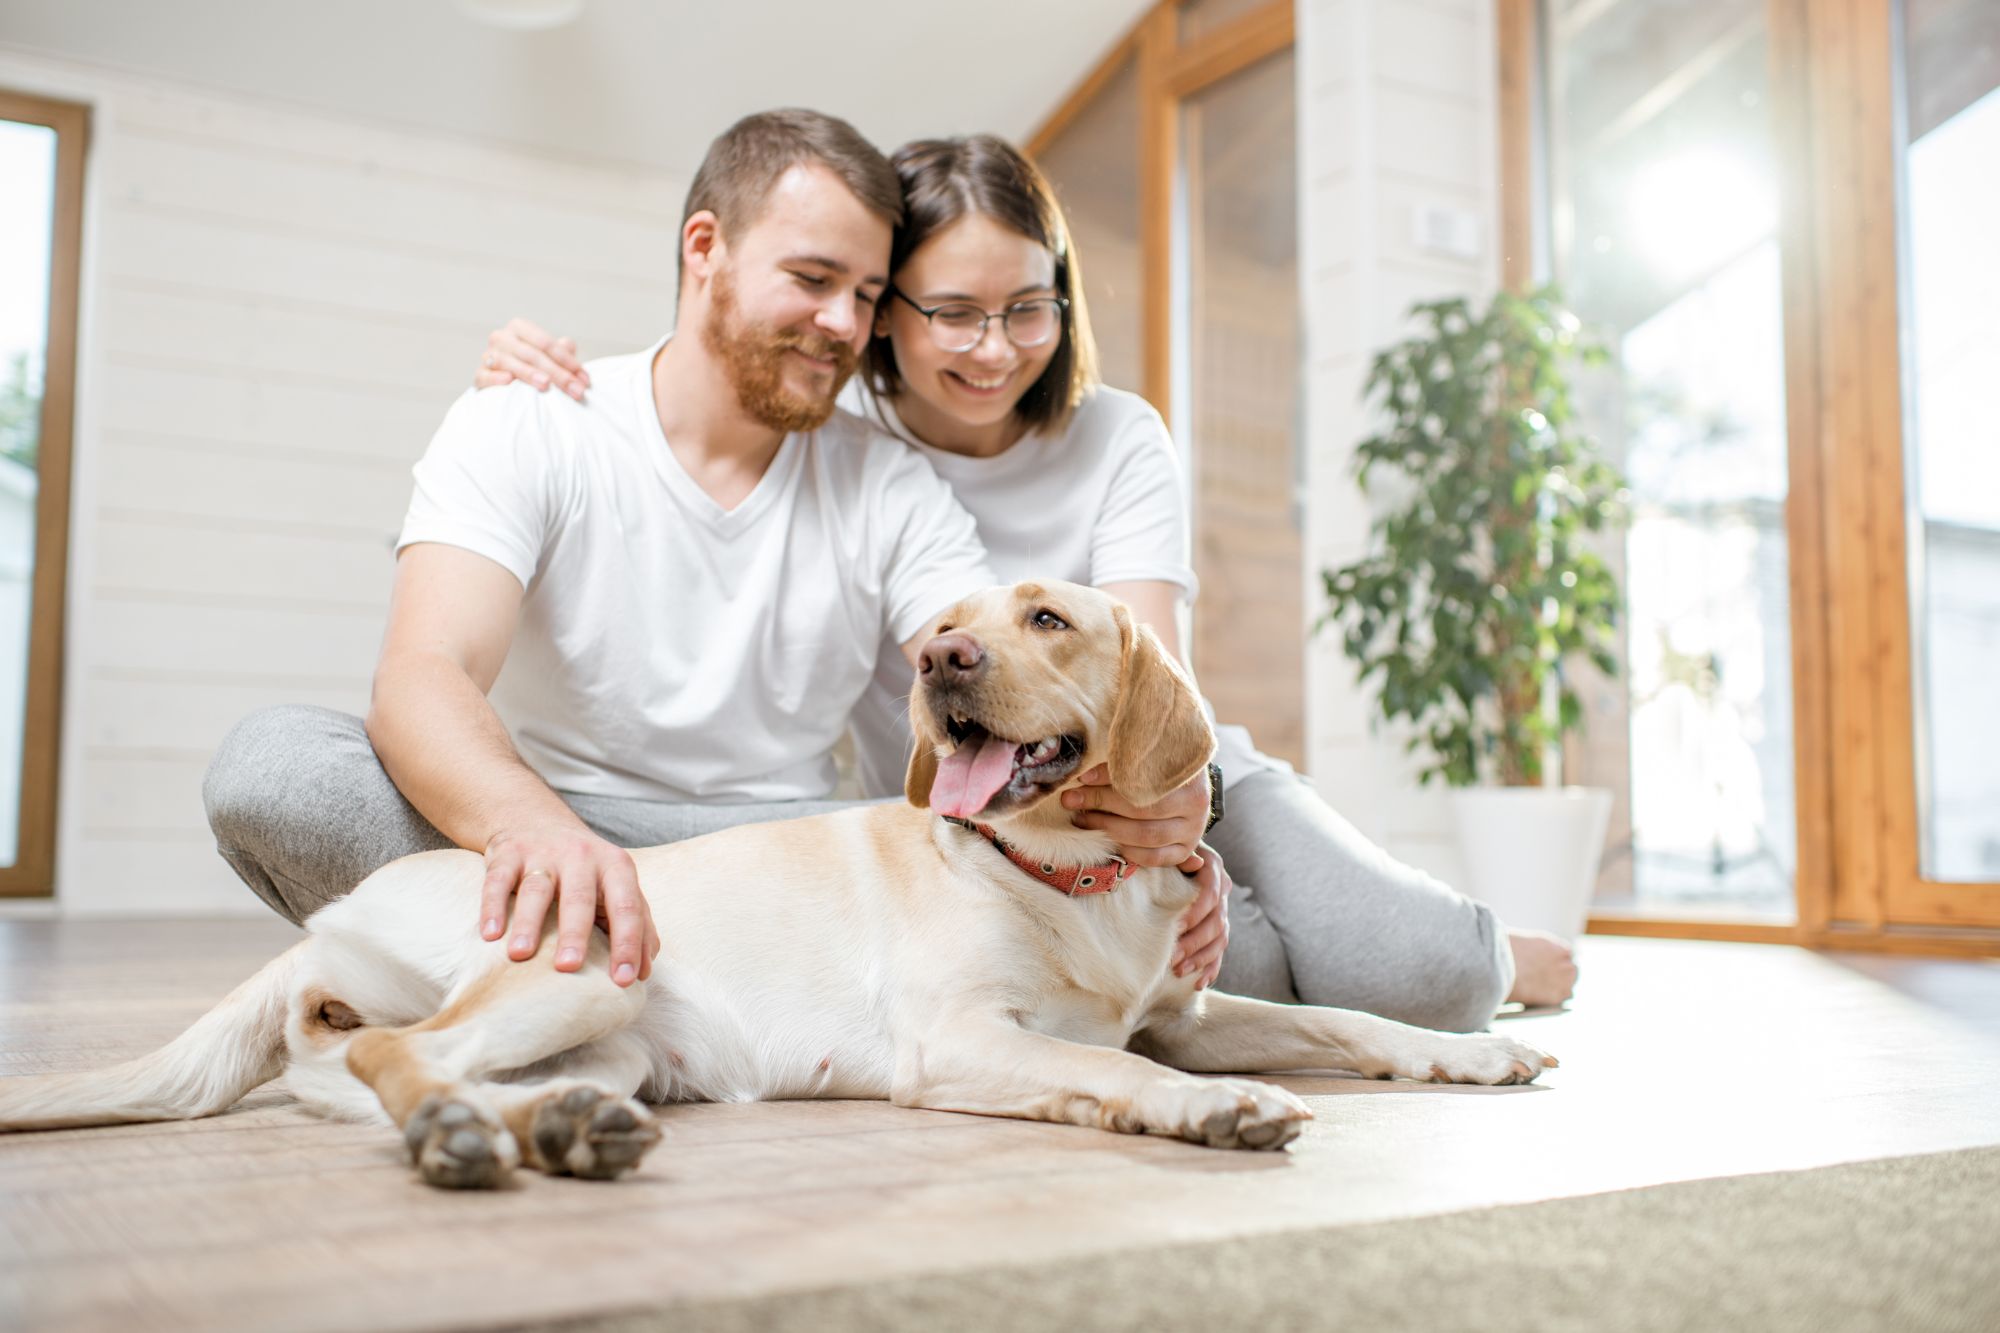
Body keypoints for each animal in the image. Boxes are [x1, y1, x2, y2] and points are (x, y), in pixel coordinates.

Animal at [0, 580, 1544, 1184]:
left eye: (1046, 618)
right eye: (948, 625)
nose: (938, 658)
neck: (1072, 872)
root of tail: (324, 925)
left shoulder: (1186, 1009)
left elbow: (1346, 1019)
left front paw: (1474, 1055)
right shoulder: (962, 1039)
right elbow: (1118, 1074)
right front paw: (1214, 1113)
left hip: (618, 1045)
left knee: (399, 1068)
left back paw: (548, 1131)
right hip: (577, 970)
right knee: (394, 1054)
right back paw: (466, 1137)